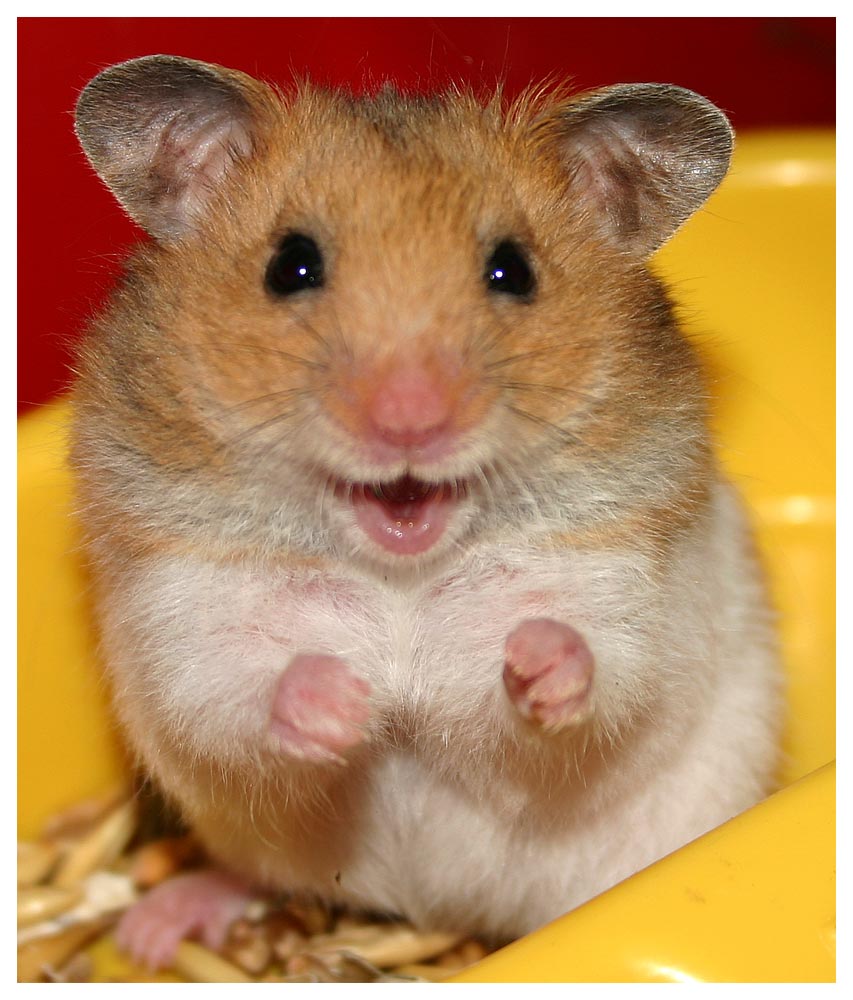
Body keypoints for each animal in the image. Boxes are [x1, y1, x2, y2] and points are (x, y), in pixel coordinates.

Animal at [69, 55, 782, 968]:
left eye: (512, 270)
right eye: (289, 266)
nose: (409, 422)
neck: (399, 572)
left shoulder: (625, 590)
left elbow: (601, 666)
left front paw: (534, 661)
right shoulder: (186, 610)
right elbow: (232, 688)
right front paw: (345, 702)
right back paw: (156, 928)